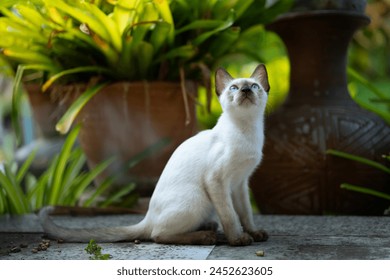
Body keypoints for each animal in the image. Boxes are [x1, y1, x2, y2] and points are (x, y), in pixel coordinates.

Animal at [40, 64, 272, 246]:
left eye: (254, 86)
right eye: (234, 88)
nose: (245, 90)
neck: (247, 131)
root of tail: (147, 216)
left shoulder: (240, 183)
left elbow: (245, 213)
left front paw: (254, 233)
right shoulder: (217, 180)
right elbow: (230, 216)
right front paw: (238, 239)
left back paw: (208, 227)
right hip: (198, 199)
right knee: (157, 234)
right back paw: (206, 236)